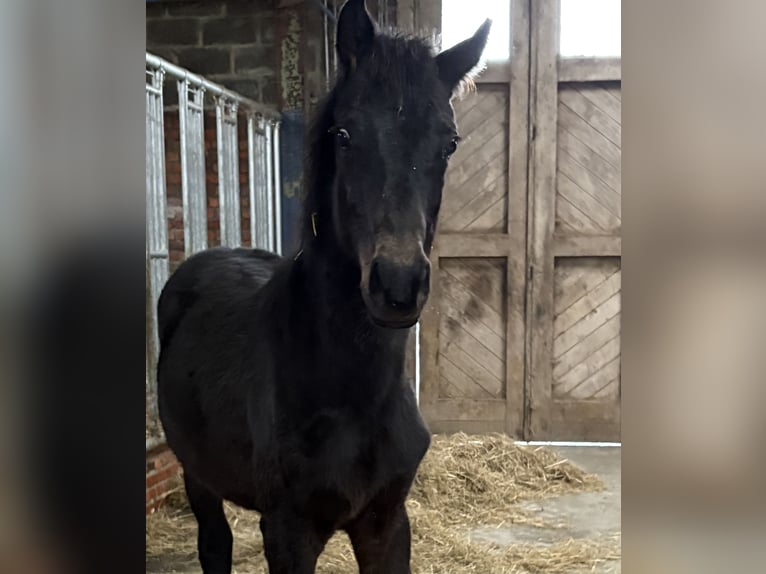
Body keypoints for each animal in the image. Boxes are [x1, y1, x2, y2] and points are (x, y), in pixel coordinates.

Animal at [156, 1, 490, 572]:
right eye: (344, 134)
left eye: (449, 142)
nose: (397, 284)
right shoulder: (288, 531)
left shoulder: (386, 522)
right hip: (197, 472)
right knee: (214, 543)